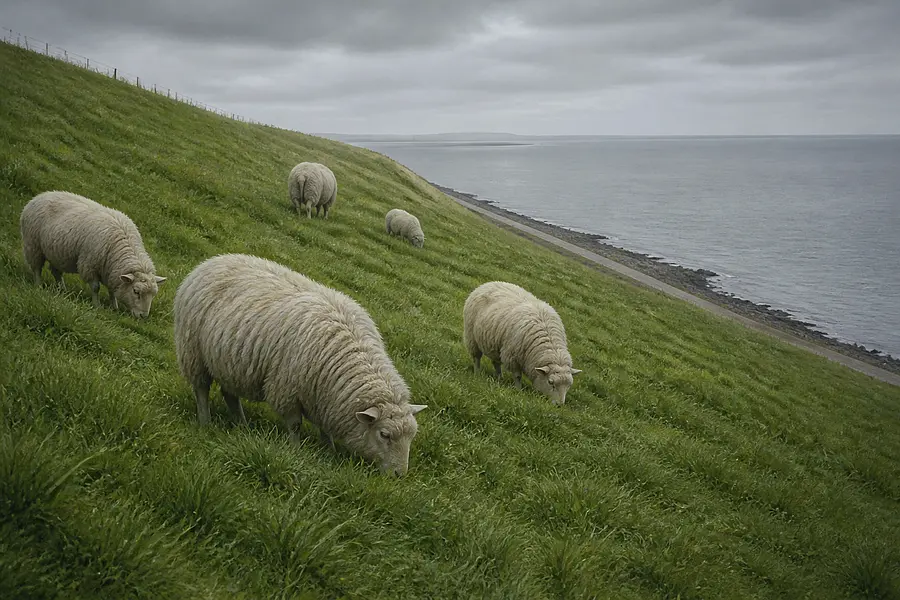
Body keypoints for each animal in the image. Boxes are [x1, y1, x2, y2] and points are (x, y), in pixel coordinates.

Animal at [19, 190, 166, 318]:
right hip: (33, 245)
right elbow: (96, 287)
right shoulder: (89, 265)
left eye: (153, 294)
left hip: (56, 253)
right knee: (36, 267)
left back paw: (62, 289)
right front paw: (97, 306)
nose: (143, 316)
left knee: (56, 271)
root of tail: (40, 196)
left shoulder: (111, 271)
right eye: (136, 291)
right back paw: (38, 285)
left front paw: (114, 307)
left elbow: (112, 291)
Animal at [173, 253, 428, 476]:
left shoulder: (323, 398)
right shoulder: (286, 389)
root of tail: (213, 260)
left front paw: (329, 451)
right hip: (193, 351)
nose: (399, 475)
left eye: (411, 437)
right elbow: (295, 424)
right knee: (201, 389)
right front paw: (295, 450)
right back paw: (205, 422)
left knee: (229, 393)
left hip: (229, 361)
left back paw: (242, 425)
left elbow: (325, 428)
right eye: (384, 435)